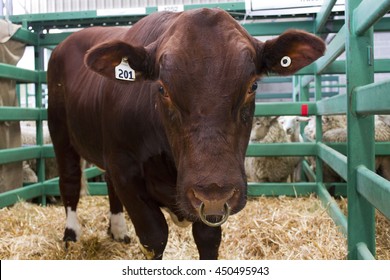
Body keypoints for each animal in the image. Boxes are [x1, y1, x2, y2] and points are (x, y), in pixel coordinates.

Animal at [47, 7, 324, 260]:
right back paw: (71, 235)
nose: (213, 193)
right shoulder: (124, 168)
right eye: (162, 88)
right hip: (60, 133)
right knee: (69, 181)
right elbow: (154, 236)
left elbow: (208, 238)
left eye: (252, 86)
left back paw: (117, 230)